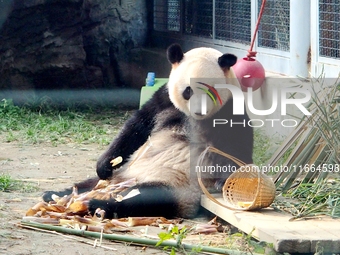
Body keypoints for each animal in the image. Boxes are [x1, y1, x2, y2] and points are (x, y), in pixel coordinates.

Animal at [42, 43, 252, 219]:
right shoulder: (164, 100)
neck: (194, 118)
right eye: (188, 90)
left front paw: (225, 181)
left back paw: (101, 205)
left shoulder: (231, 108)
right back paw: (56, 195)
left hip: (176, 185)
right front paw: (104, 164)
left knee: (147, 198)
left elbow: (237, 146)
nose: (198, 111)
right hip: (119, 174)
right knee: (88, 183)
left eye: (210, 91)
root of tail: (122, 182)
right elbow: (137, 127)